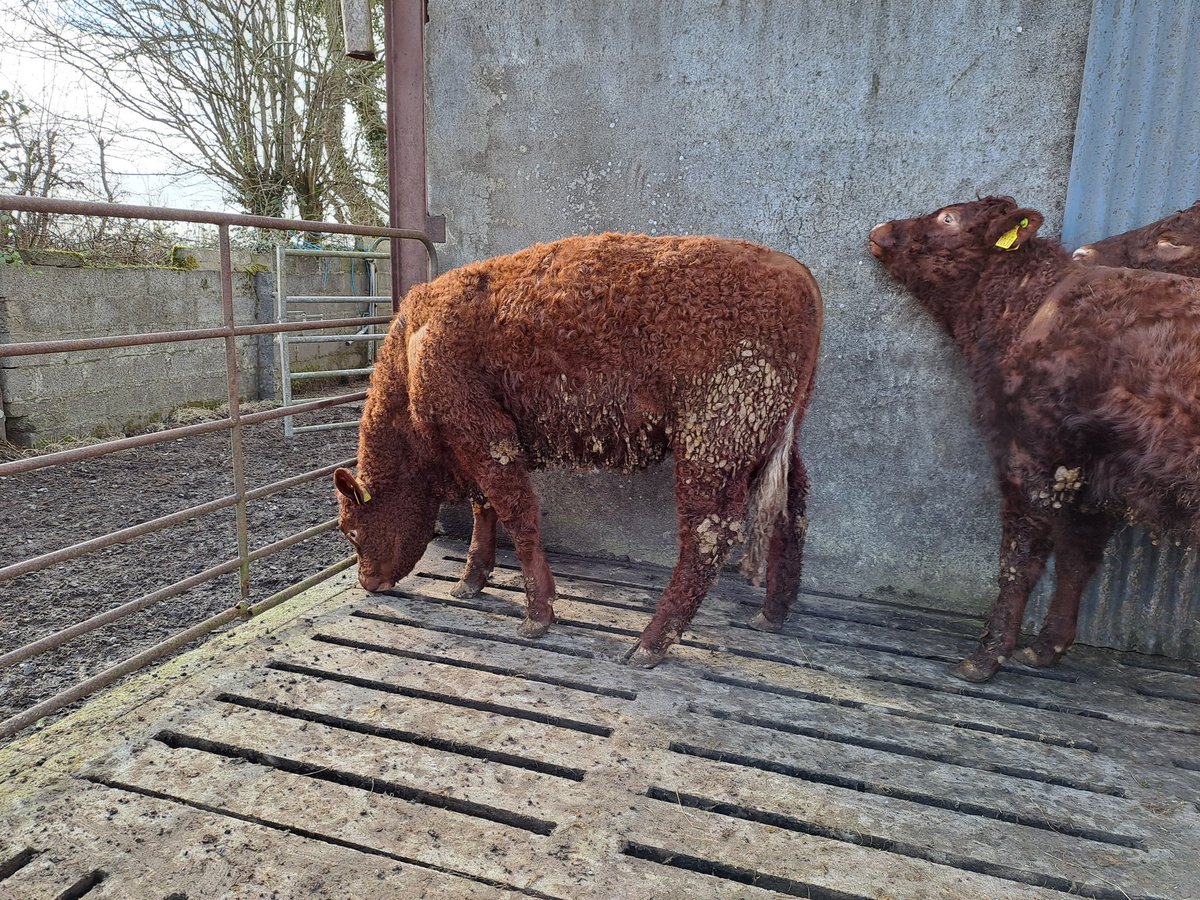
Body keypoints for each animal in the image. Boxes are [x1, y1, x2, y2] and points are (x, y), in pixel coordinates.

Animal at [334, 233, 824, 667]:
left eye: (352, 531)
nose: (368, 582)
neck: (413, 346)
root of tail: (798, 273)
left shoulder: (486, 437)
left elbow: (517, 515)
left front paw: (537, 616)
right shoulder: (472, 448)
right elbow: (484, 509)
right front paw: (470, 582)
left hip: (711, 446)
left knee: (707, 536)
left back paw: (648, 645)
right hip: (776, 442)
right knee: (792, 510)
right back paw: (772, 614)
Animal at [868, 196, 1200, 682]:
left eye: (948, 218)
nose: (880, 228)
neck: (1027, 311)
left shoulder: (1034, 457)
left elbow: (1019, 560)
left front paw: (987, 655)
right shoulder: (1092, 475)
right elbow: (1076, 559)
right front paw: (1047, 647)